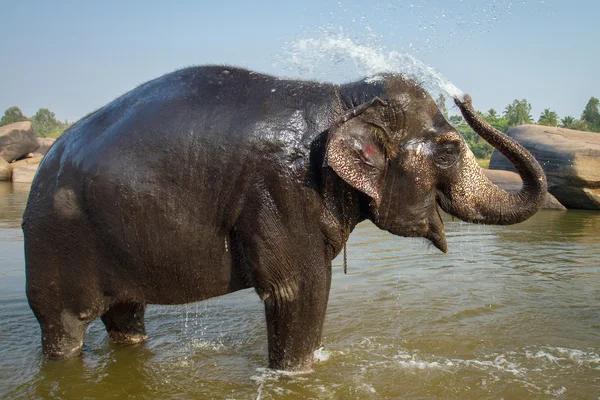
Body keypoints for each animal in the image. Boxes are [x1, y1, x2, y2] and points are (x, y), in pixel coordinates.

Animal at [23, 65, 548, 368]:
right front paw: (297, 373)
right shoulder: (281, 188)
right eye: (450, 148)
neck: (342, 100)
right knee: (63, 326)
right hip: (54, 245)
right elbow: (301, 289)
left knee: (126, 316)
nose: (466, 97)